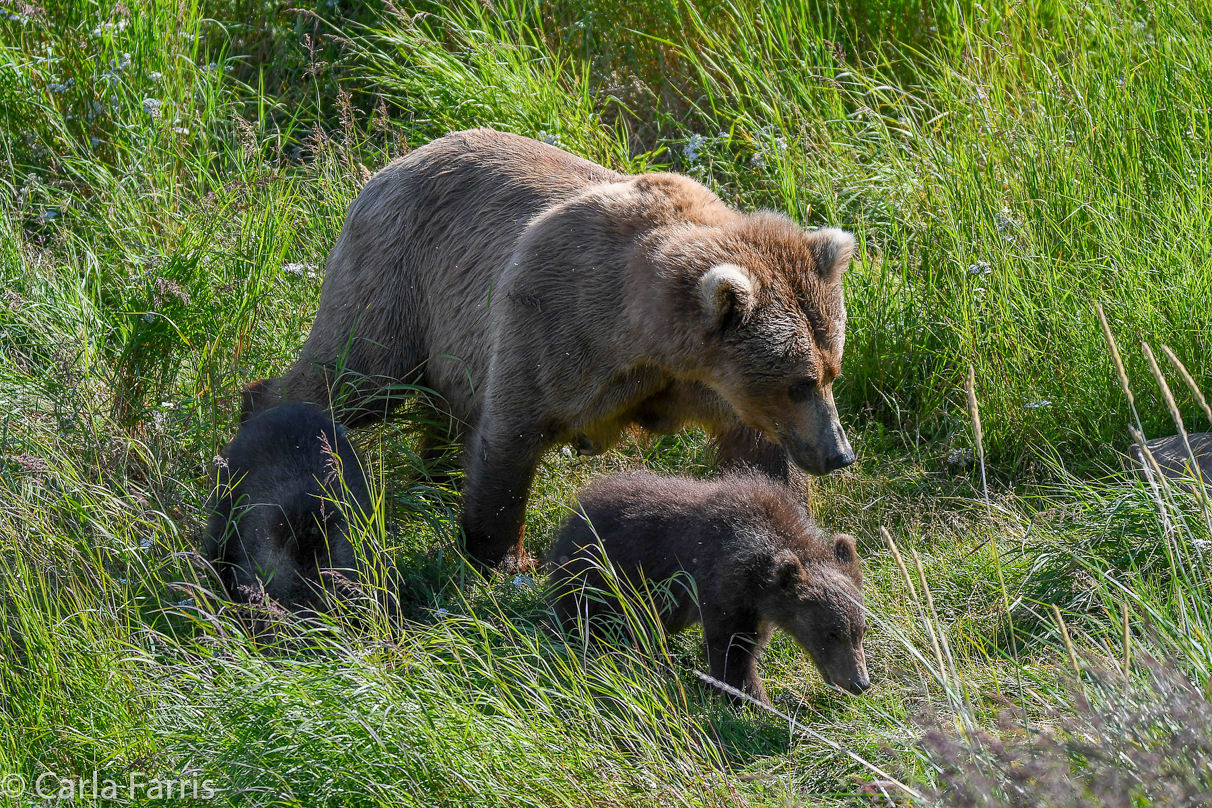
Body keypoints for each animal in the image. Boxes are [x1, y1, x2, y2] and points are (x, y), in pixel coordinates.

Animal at [243, 127, 853, 569]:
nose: (839, 455)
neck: (646, 339)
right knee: (352, 375)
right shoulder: (554, 322)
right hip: (399, 281)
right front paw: (506, 558)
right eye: (798, 382)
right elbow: (511, 437)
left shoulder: (709, 386)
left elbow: (763, 460)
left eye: (830, 372)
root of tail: (391, 166)